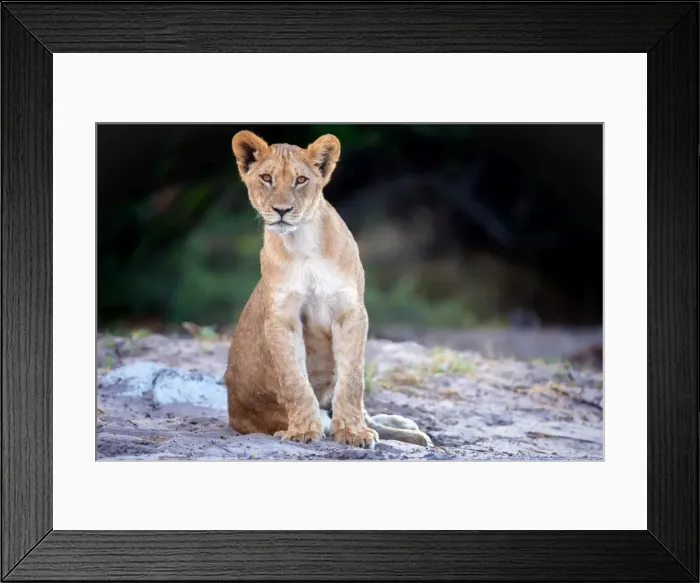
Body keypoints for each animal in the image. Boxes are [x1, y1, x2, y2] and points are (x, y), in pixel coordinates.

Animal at [224, 130, 432, 449]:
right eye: (266, 178)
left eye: (300, 180)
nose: (282, 210)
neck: (303, 243)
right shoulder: (282, 318)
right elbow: (294, 380)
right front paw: (302, 430)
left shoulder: (350, 312)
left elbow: (353, 381)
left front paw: (354, 432)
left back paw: (409, 430)